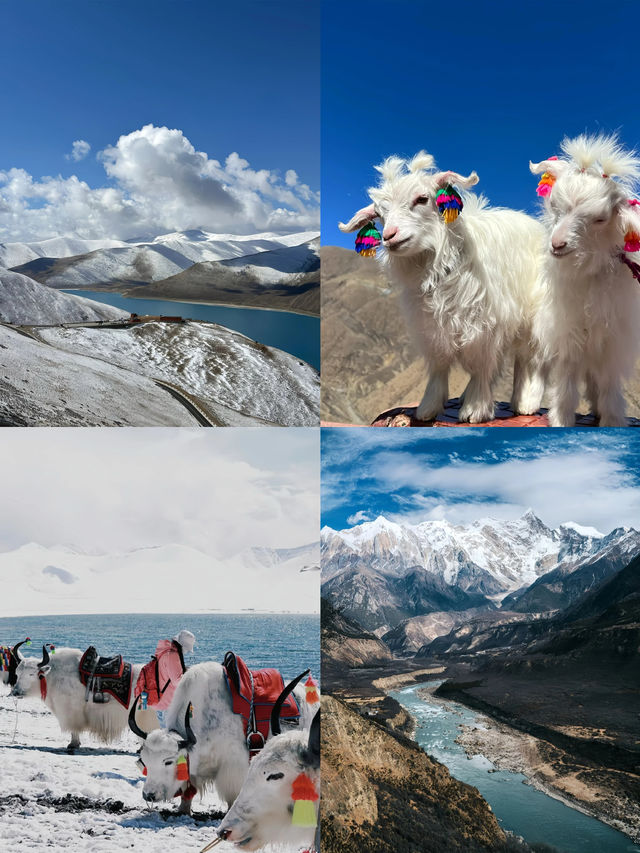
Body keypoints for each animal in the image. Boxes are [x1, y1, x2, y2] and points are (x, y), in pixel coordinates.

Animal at [340, 152, 544, 422]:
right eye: (380, 215)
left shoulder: (484, 326)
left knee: (529, 358)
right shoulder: (432, 327)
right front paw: (428, 408)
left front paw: (475, 410)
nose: (390, 236)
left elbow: (482, 366)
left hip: (535, 314)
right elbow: (439, 366)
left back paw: (526, 402)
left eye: (421, 199)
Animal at [532, 134, 640, 426]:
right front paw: (561, 420)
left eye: (600, 218)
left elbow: (609, 386)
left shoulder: (612, 341)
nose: (557, 244)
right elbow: (566, 386)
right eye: (554, 206)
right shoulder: (567, 334)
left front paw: (612, 420)